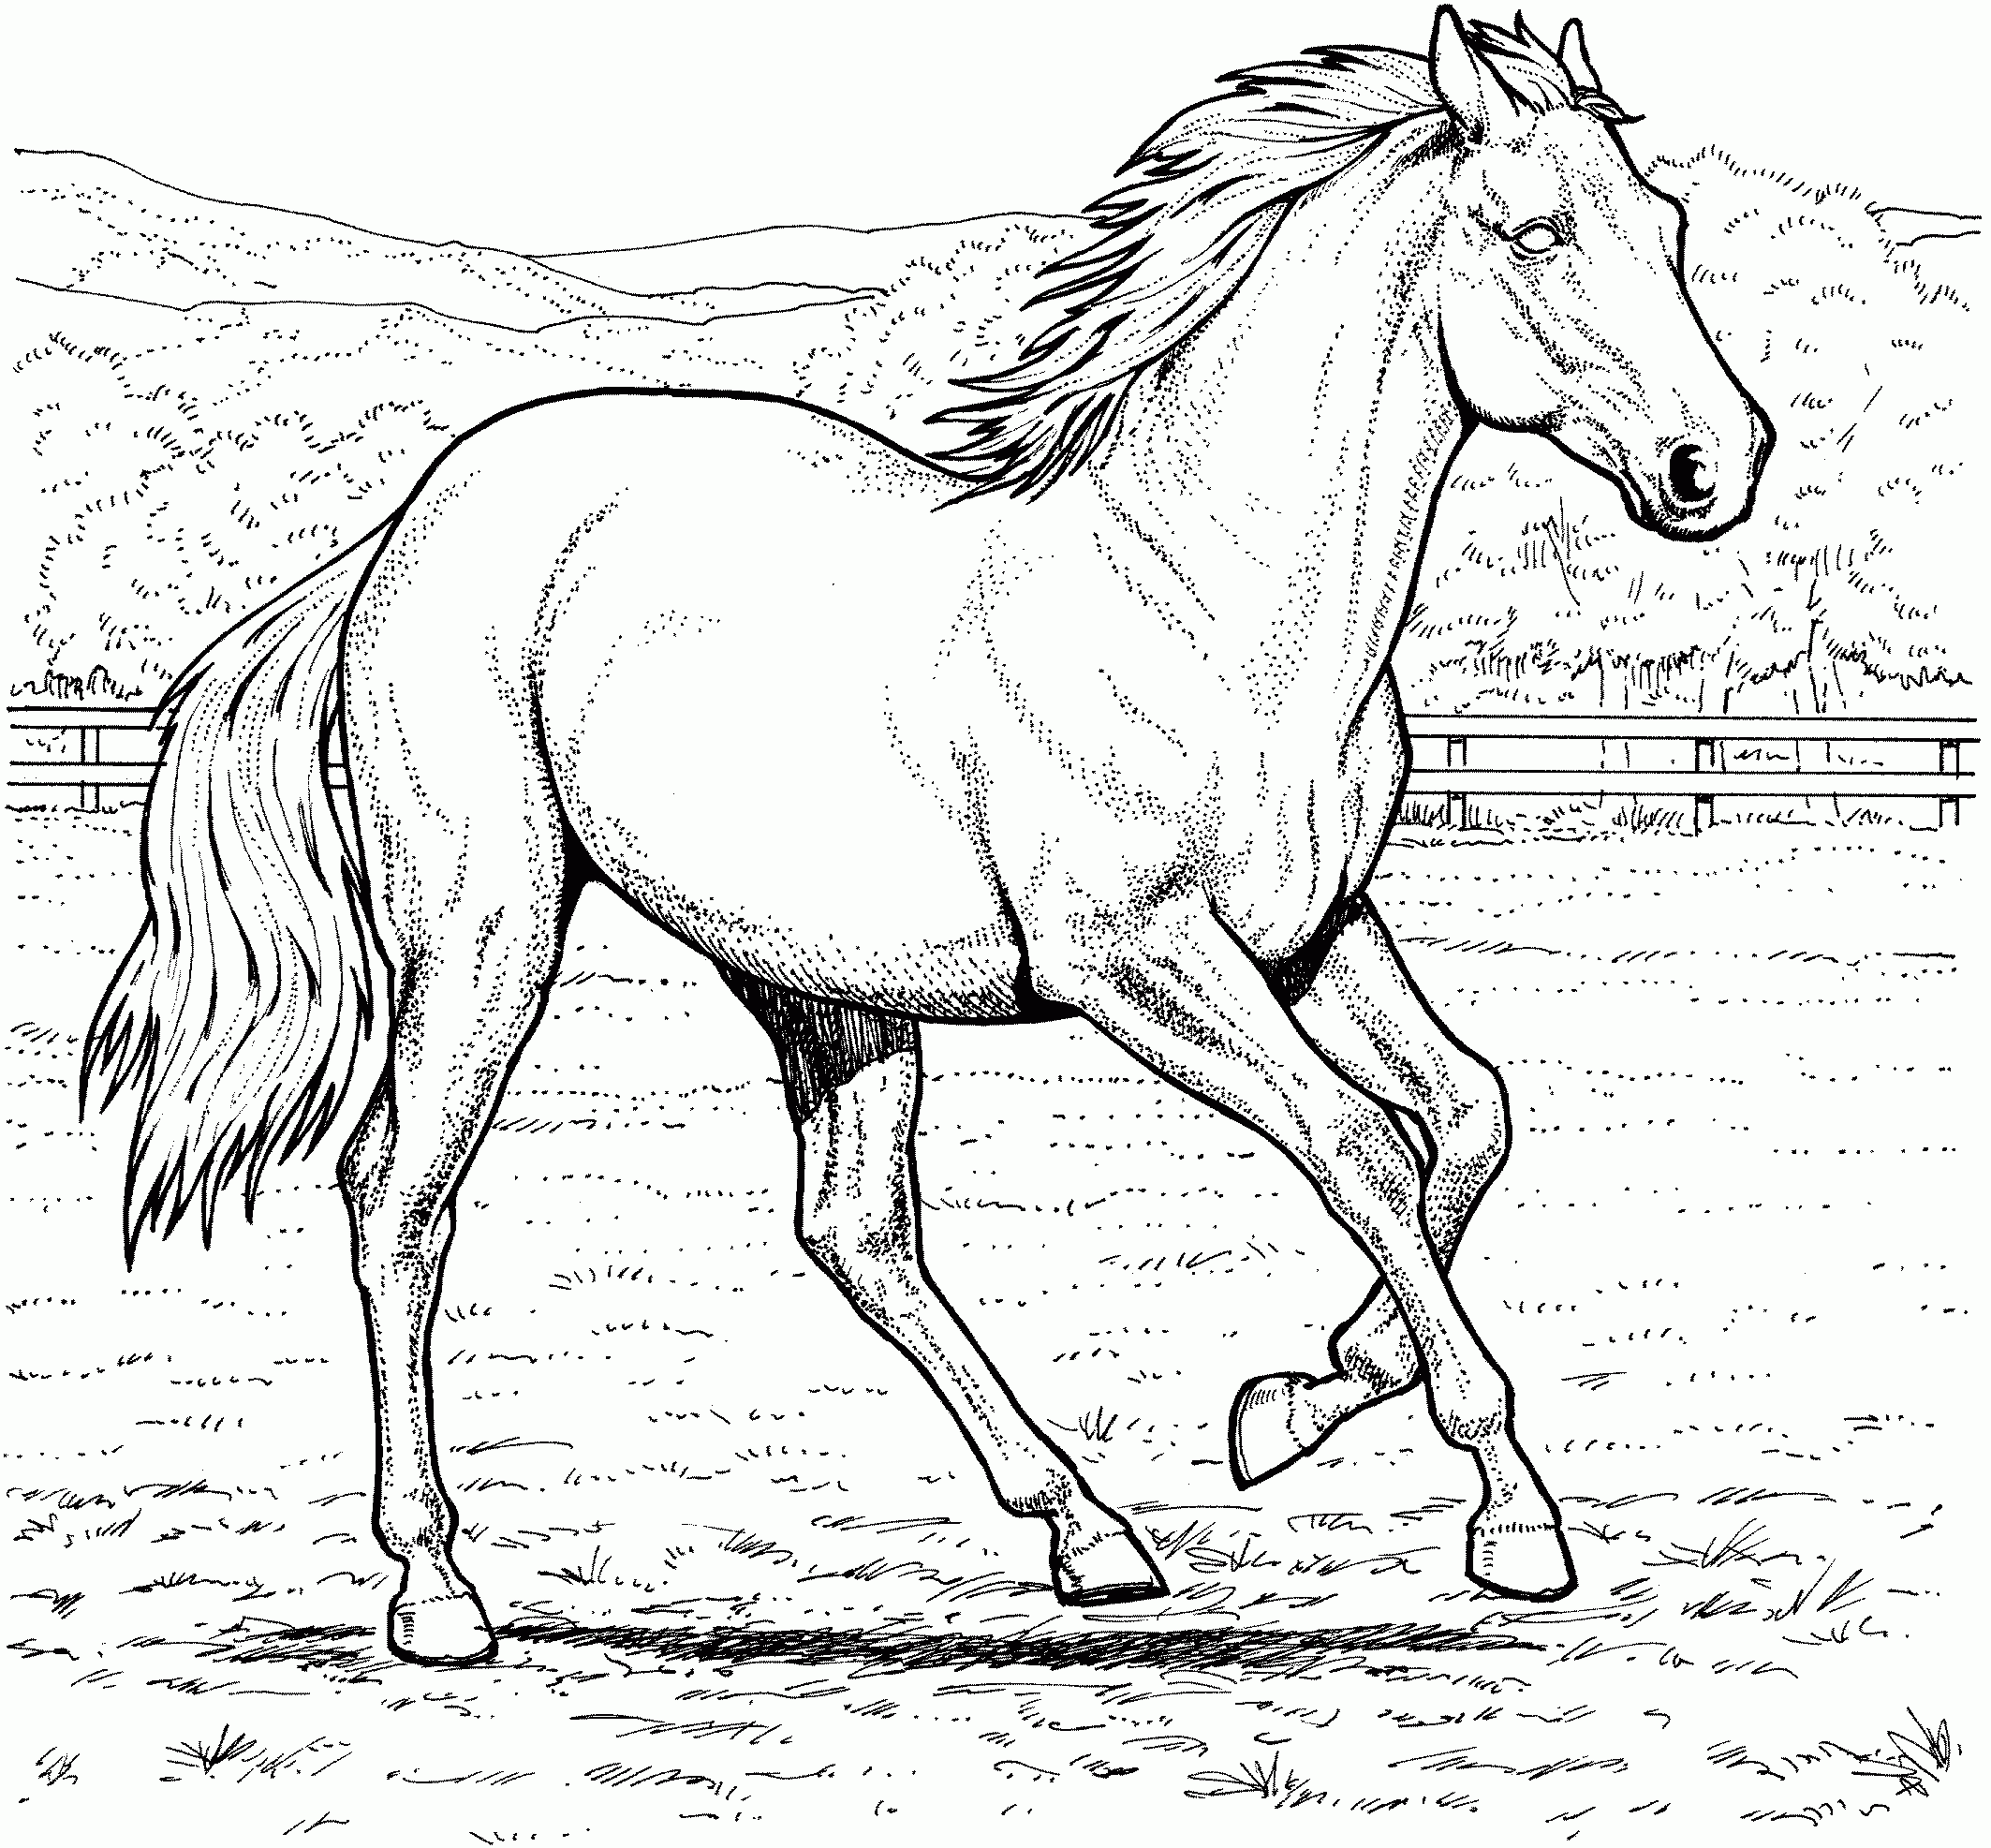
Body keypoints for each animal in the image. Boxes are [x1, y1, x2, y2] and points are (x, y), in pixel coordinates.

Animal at [84, 9, 1770, 1666]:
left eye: (1667, 224)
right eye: (1536, 230)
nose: (1717, 464)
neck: (1203, 600)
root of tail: (407, 526)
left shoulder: (1313, 934)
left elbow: (1470, 1116)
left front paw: (1291, 1404)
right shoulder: (1136, 960)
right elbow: (1359, 1144)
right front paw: (1509, 1517)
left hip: (822, 986)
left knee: (855, 1230)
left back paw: (1090, 1534)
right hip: (486, 928)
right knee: (401, 1196)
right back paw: (437, 1589)